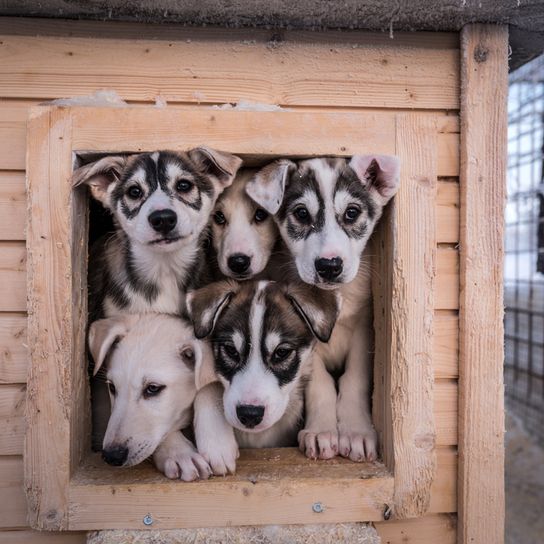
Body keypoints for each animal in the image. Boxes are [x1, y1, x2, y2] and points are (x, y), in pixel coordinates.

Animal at [246, 154, 400, 464]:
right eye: (302, 214)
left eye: (352, 213)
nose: (329, 266)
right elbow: (320, 384)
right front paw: (322, 430)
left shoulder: (365, 329)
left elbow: (354, 379)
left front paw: (355, 431)